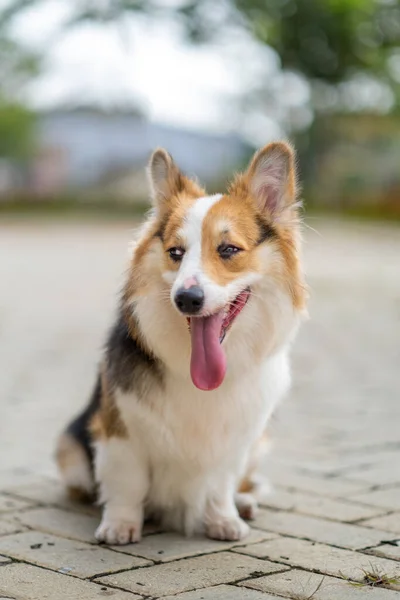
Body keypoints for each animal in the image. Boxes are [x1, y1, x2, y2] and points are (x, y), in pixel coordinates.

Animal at [55, 141, 306, 544]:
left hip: (260, 441)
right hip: (70, 451)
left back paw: (243, 504)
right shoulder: (121, 429)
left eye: (228, 250)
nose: (187, 299)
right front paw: (120, 525)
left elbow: (220, 482)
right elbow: (127, 481)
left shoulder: (235, 438)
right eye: (176, 253)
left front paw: (223, 519)